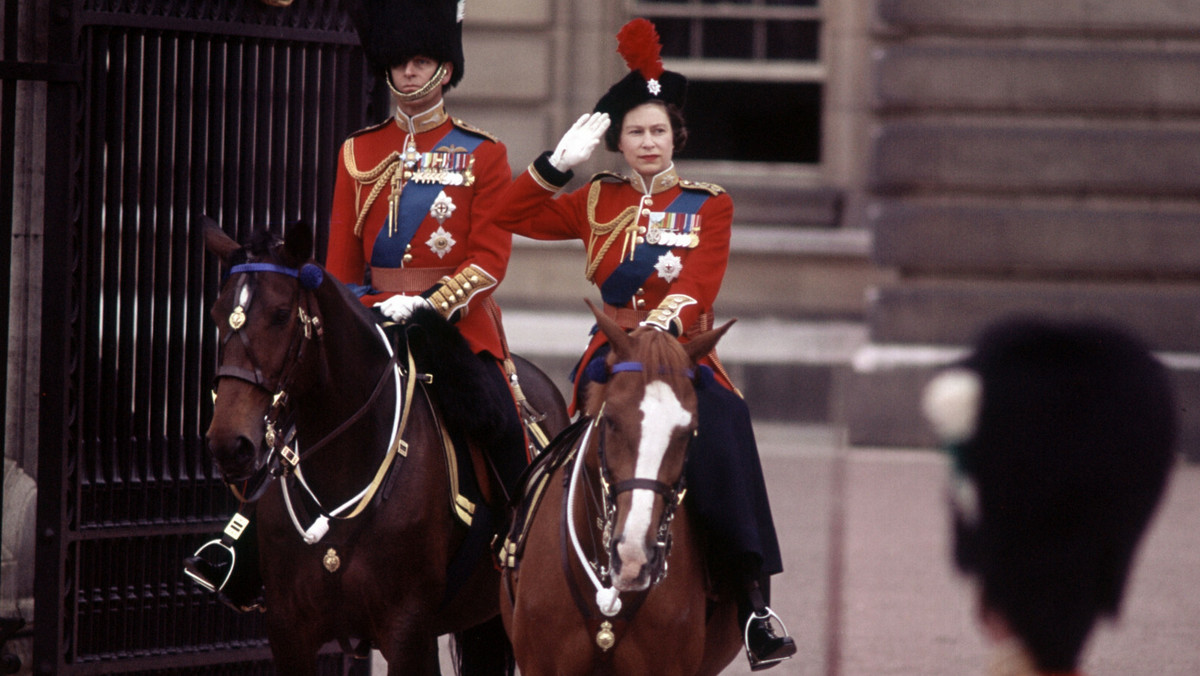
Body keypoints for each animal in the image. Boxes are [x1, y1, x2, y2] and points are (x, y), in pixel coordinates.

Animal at [200, 218, 566, 676]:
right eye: (217, 314)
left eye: (281, 315)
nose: (228, 444)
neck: (343, 468)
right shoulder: (288, 632)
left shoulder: (408, 632)